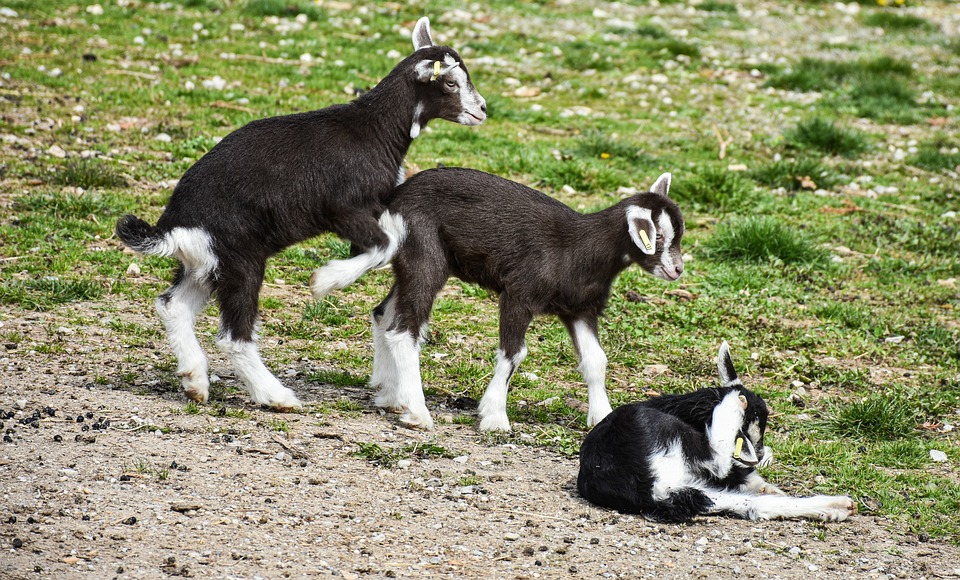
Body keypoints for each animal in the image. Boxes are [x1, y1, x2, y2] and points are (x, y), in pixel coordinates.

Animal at [115, 18, 484, 408]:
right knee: (233, 336)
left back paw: (195, 380)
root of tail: (173, 226)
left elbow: (382, 246)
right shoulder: (345, 208)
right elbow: (383, 245)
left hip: (206, 263)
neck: (373, 130)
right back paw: (276, 396)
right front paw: (325, 281)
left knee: (173, 306)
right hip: (239, 258)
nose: (482, 109)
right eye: (450, 82)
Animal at [344, 168, 684, 430]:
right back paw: (417, 412)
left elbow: (596, 360)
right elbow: (514, 353)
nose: (677, 270)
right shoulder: (519, 295)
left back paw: (389, 395)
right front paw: (494, 416)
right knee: (404, 331)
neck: (579, 248)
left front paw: (601, 417)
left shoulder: (580, 310)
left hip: (410, 262)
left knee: (383, 314)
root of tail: (394, 200)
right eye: (657, 236)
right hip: (424, 255)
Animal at [572, 342, 860, 524]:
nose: (756, 455)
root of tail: (653, 490)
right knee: (720, 463)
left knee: (750, 503)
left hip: (696, 487)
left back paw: (836, 507)